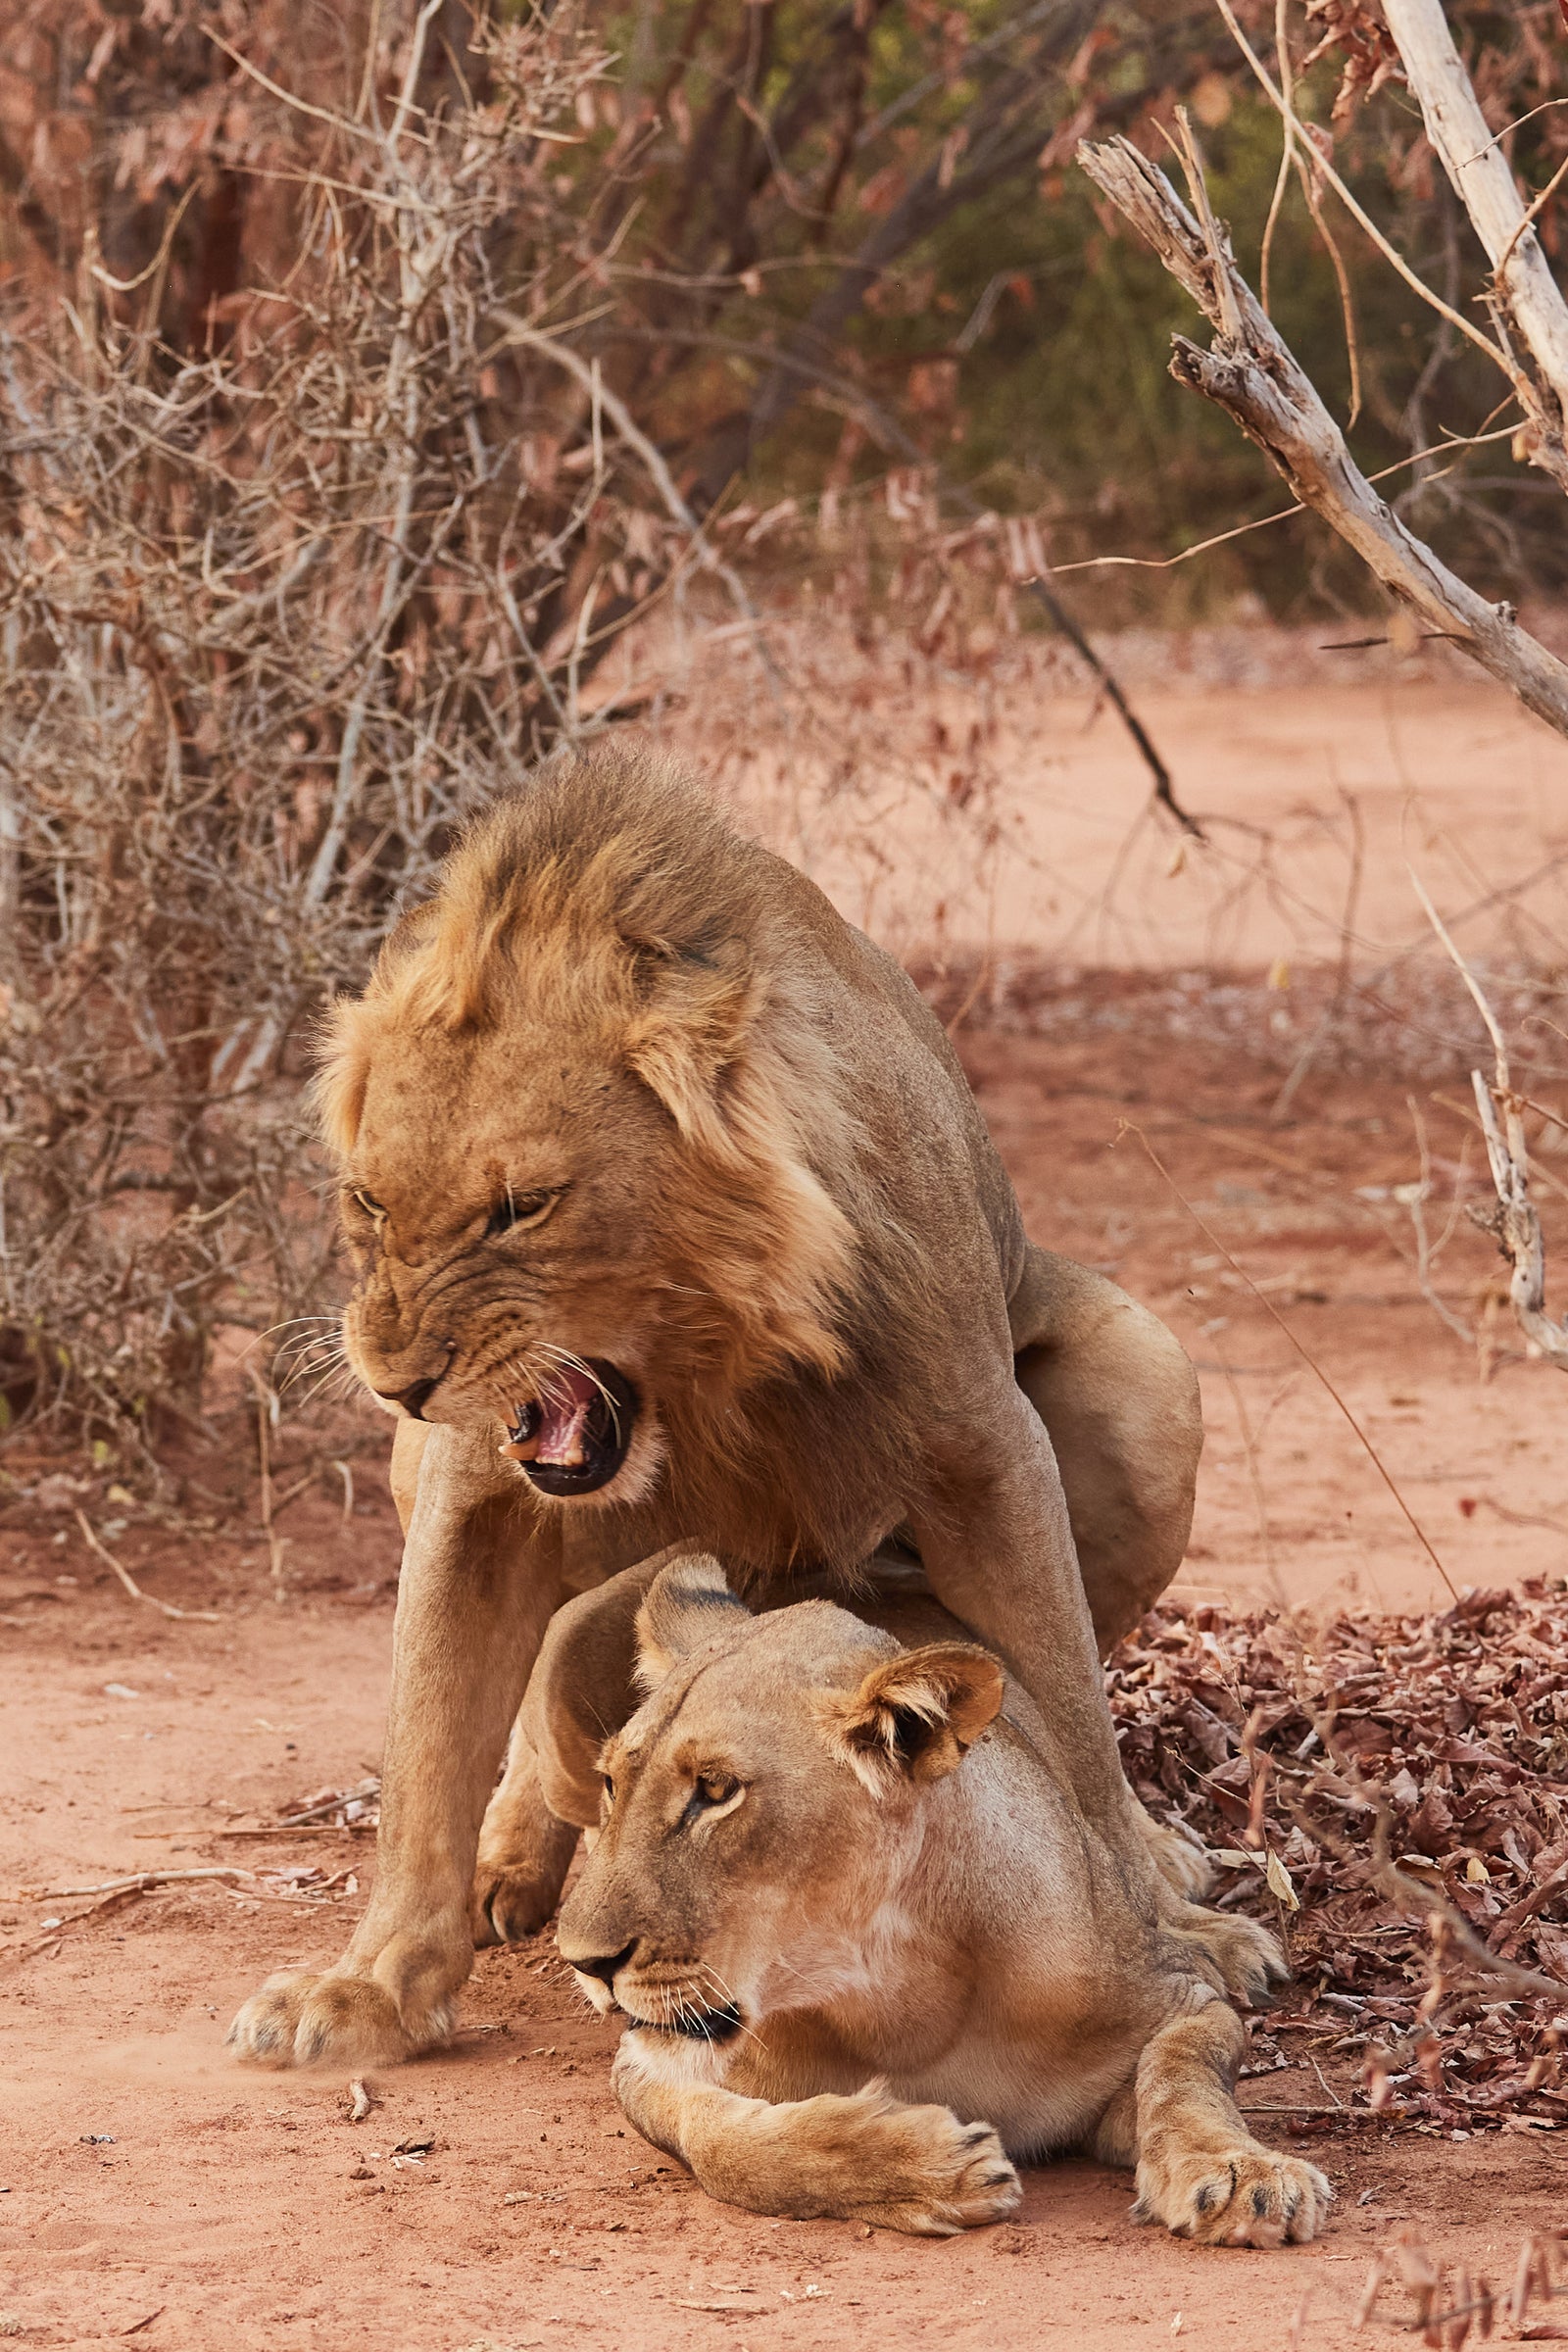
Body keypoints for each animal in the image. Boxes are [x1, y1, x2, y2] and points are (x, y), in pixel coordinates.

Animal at [228, 746, 1204, 2069]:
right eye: (369, 1203)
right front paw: (371, 1987)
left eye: (522, 1208)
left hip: (1151, 1381)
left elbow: (1063, 1692)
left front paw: (1150, 1908)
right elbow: (428, 1749)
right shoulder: (470, 1488)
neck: (700, 1368)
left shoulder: (985, 1445)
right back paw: (516, 1857)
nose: (396, 1381)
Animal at [543, 1552, 1330, 2245]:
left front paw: (1242, 2175)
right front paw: (929, 2167)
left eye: (715, 1791)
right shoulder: (648, 2065)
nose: (584, 1963)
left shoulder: (1177, 2001)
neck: (893, 1998)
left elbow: (1185, 2074)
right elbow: (718, 2141)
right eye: (612, 1783)